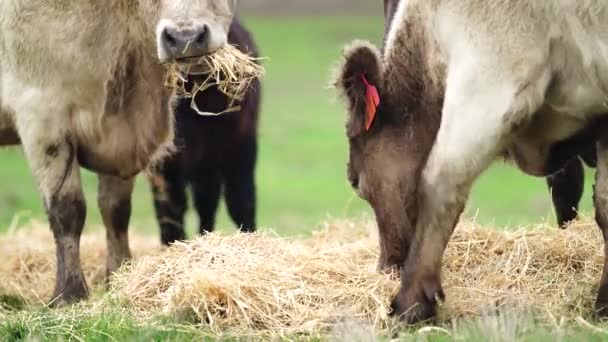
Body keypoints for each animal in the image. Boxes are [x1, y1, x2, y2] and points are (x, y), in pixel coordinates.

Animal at [0, 0, 236, 304]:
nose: (184, 38)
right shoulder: (41, 116)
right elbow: (67, 210)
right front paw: (69, 292)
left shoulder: (122, 137)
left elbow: (116, 210)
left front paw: (118, 276)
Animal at [334, 0, 608, 324]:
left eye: (356, 182)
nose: (385, 269)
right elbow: (604, 204)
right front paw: (604, 303)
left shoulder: (491, 75)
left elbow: (441, 182)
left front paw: (412, 304)